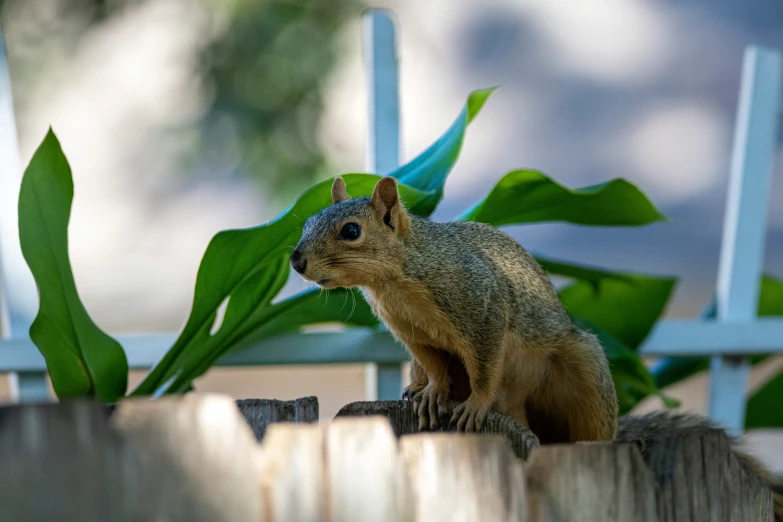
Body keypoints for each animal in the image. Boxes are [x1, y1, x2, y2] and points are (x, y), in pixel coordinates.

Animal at [292, 175, 620, 438]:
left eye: (351, 231)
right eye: (307, 223)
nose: (296, 261)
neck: (395, 284)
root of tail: (515, 404)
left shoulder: (482, 309)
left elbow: (485, 367)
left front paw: (476, 404)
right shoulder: (412, 333)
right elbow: (434, 365)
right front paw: (432, 392)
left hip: (583, 371)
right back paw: (417, 387)